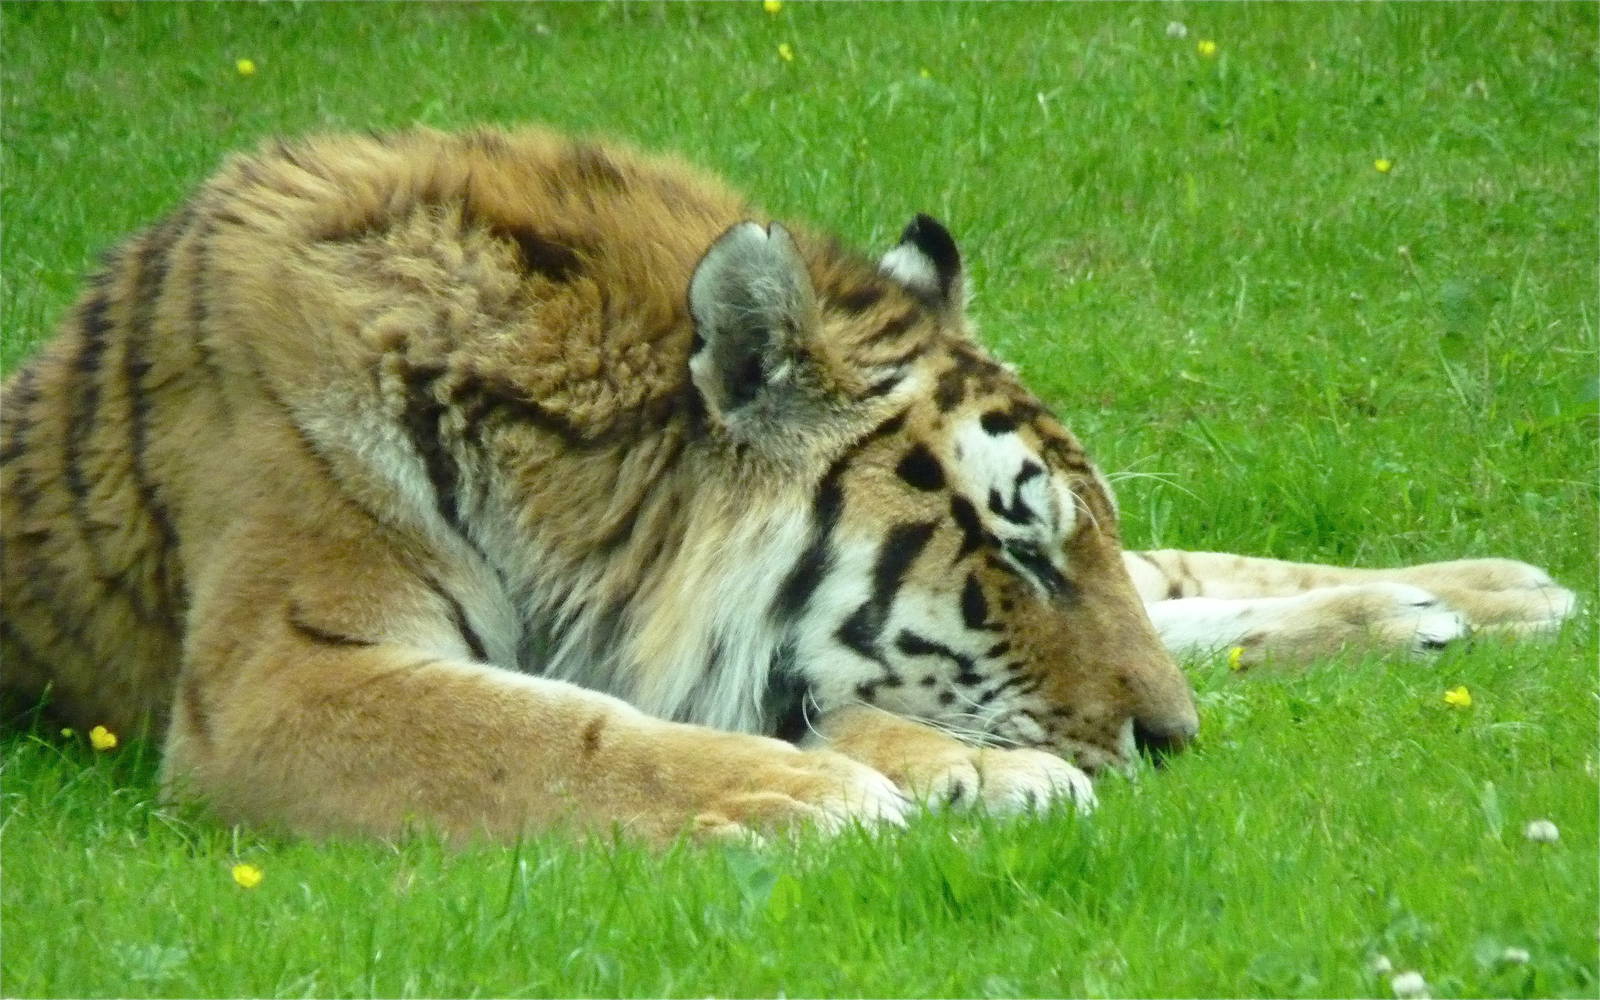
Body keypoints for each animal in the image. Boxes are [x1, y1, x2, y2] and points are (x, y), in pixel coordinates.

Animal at [0, 127, 1573, 844]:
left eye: (1065, 545)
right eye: (1016, 555)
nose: (1174, 743)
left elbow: (1181, 574)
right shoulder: (286, 673)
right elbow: (559, 736)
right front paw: (820, 795)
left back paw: (1476, 595)